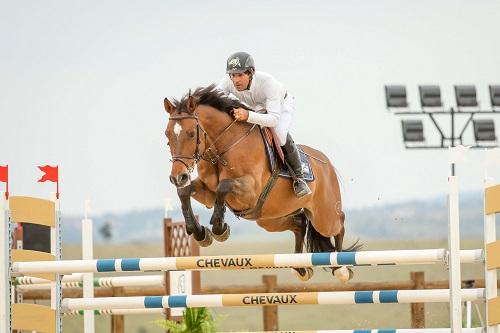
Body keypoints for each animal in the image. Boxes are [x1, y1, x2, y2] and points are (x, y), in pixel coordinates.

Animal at [162, 85, 358, 280]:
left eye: (191, 134)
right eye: (167, 135)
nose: (178, 178)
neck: (223, 147)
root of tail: (327, 164)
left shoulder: (249, 191)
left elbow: (223, 186)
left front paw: (220, 229)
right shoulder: (207, 192)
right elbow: (184, 192)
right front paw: (200, 233)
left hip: (323, 216)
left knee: (339, 224)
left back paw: (340, 268)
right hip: (269, 218)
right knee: (300, 223)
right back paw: (300, 268)